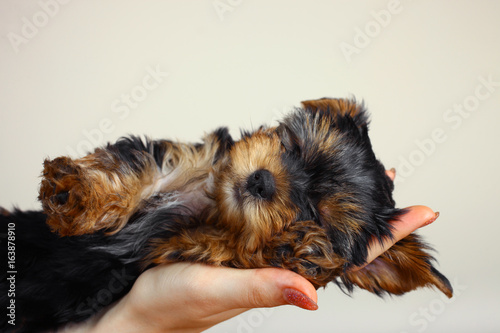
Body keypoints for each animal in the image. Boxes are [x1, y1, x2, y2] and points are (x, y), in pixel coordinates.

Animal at [0, 97, 454, 330]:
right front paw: (73, 192)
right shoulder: (188, 160)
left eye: (316, 213)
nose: (262, 181)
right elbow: (134, 168)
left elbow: (232, 246)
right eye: (291, 147)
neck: (213, 204)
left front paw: (298, 246)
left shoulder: (189, 243)